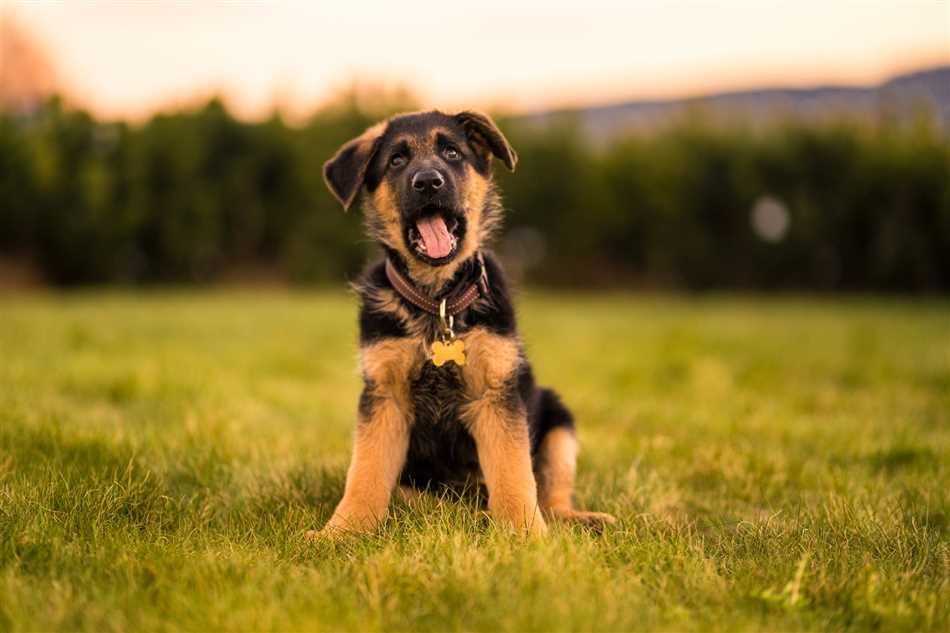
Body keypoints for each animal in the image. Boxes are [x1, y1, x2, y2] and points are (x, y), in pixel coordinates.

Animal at [320, 111, 616, 536]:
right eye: (396, 160)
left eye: (452, 152)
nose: (428, 181)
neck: (437, 300)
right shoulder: (384, 398)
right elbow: (365, 472)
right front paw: (342, 532)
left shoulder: (495, 395)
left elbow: (513, 474)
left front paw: (526, 534)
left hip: (559, 422)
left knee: (551, 496)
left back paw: (576, 518)